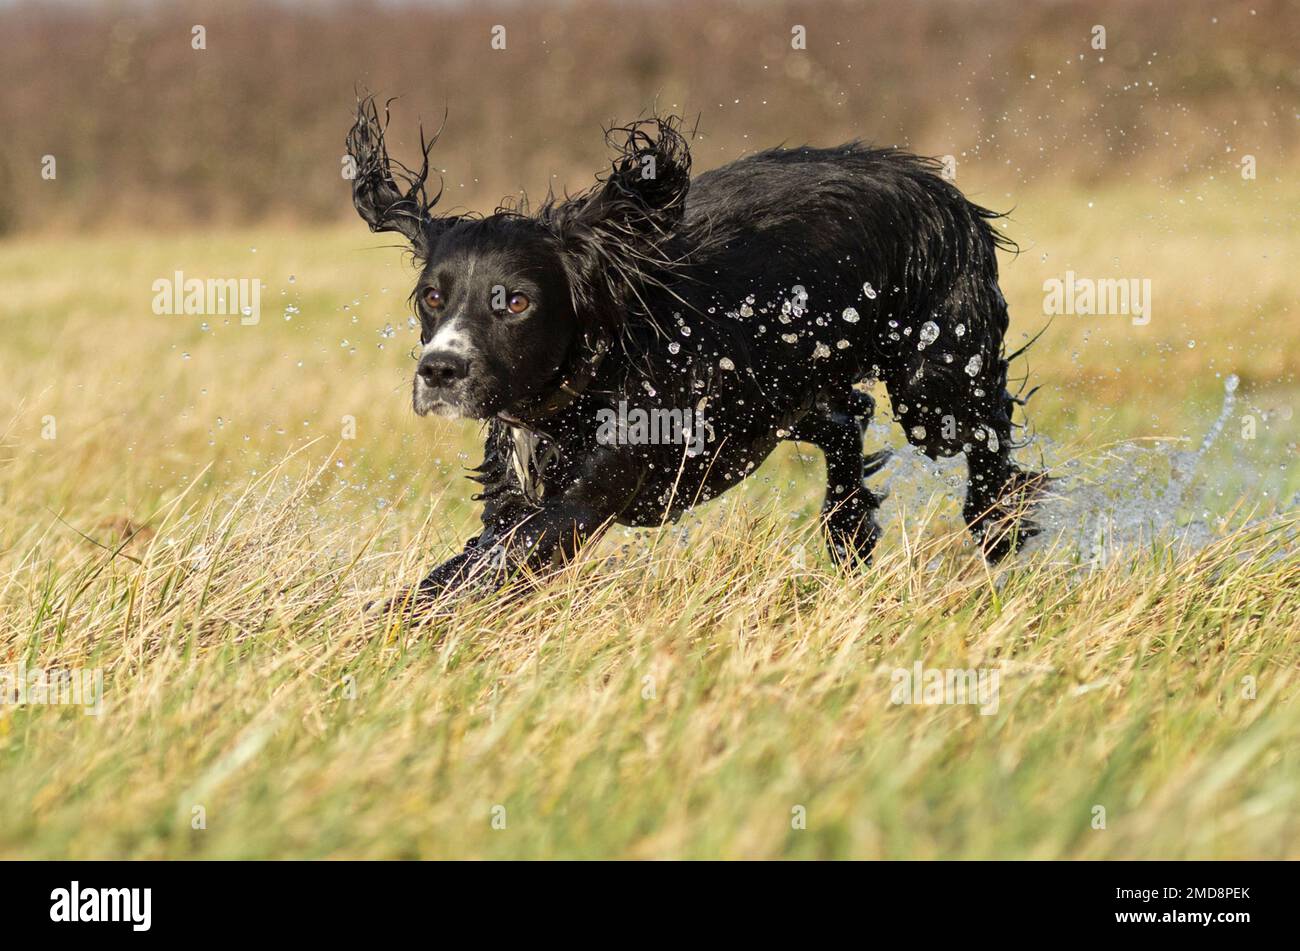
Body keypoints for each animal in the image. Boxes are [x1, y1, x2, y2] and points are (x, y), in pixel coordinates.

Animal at [345, 92, 1045, 605]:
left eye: (514, 302)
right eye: (431, 297)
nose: (439, 370)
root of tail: (932, 180)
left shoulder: (587, 495)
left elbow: (492, 563)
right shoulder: (516, 496)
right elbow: (477, 555)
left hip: (935, 384)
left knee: (986, 431)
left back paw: (997, 526)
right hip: (771, 399)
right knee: (848, 418)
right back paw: (847, 529)